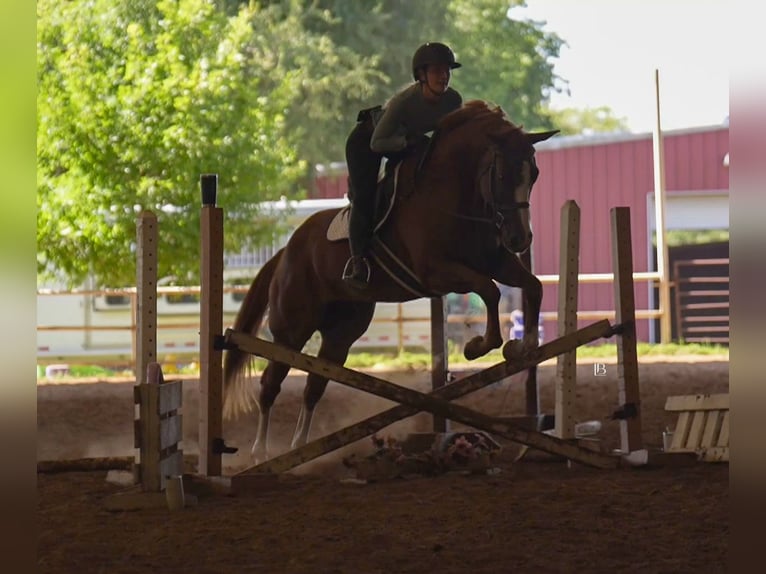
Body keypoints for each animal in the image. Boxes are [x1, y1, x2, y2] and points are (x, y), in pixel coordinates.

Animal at [223, 100, 558, 461]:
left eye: (534, 175)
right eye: (501, 174)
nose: (519, 239)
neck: (455, 194)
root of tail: (286, 252)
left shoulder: (495, 262)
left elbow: (532, 286)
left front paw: (523, 345)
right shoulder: (438, 272)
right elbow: (490, 290)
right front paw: (478, 346)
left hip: (341, 334)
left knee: (315, 385)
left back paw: (301, 448)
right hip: (292, 329)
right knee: (271, 382)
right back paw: (261, 451)